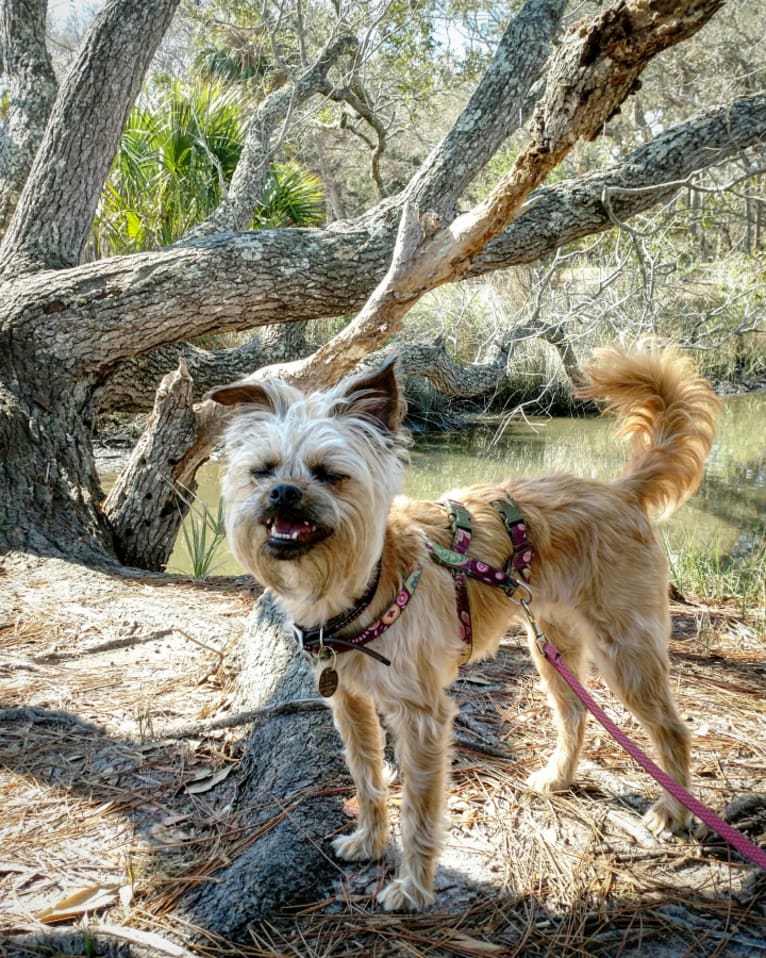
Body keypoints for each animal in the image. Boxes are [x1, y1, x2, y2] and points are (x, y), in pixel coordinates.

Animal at [208, 346, 720, 916]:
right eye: (262, 471)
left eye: (328, 474)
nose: (282, 493)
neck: (365, 585)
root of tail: (617, 492)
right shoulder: (351, 704)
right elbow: (366, 777)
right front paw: (368, 841)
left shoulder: (422, 717)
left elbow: (419, 808)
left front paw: (412, 888)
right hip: (551, 647)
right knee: (575, 716)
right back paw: (558, 778)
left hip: (625, 650)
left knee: (671, 729)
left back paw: (673, 812)